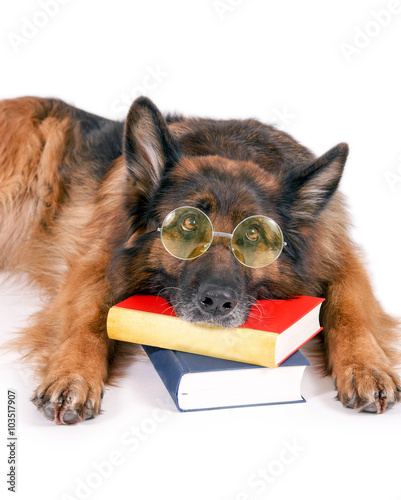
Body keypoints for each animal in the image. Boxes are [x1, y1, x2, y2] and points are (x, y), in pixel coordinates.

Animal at [0, 95, 398, 424]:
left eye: (254, 235)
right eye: (189, 223)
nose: (217, 302)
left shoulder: (339, 258)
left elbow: (350, 308)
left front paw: (366, 366)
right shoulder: (96, 261)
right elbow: (87, 317)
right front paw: (74, 373)